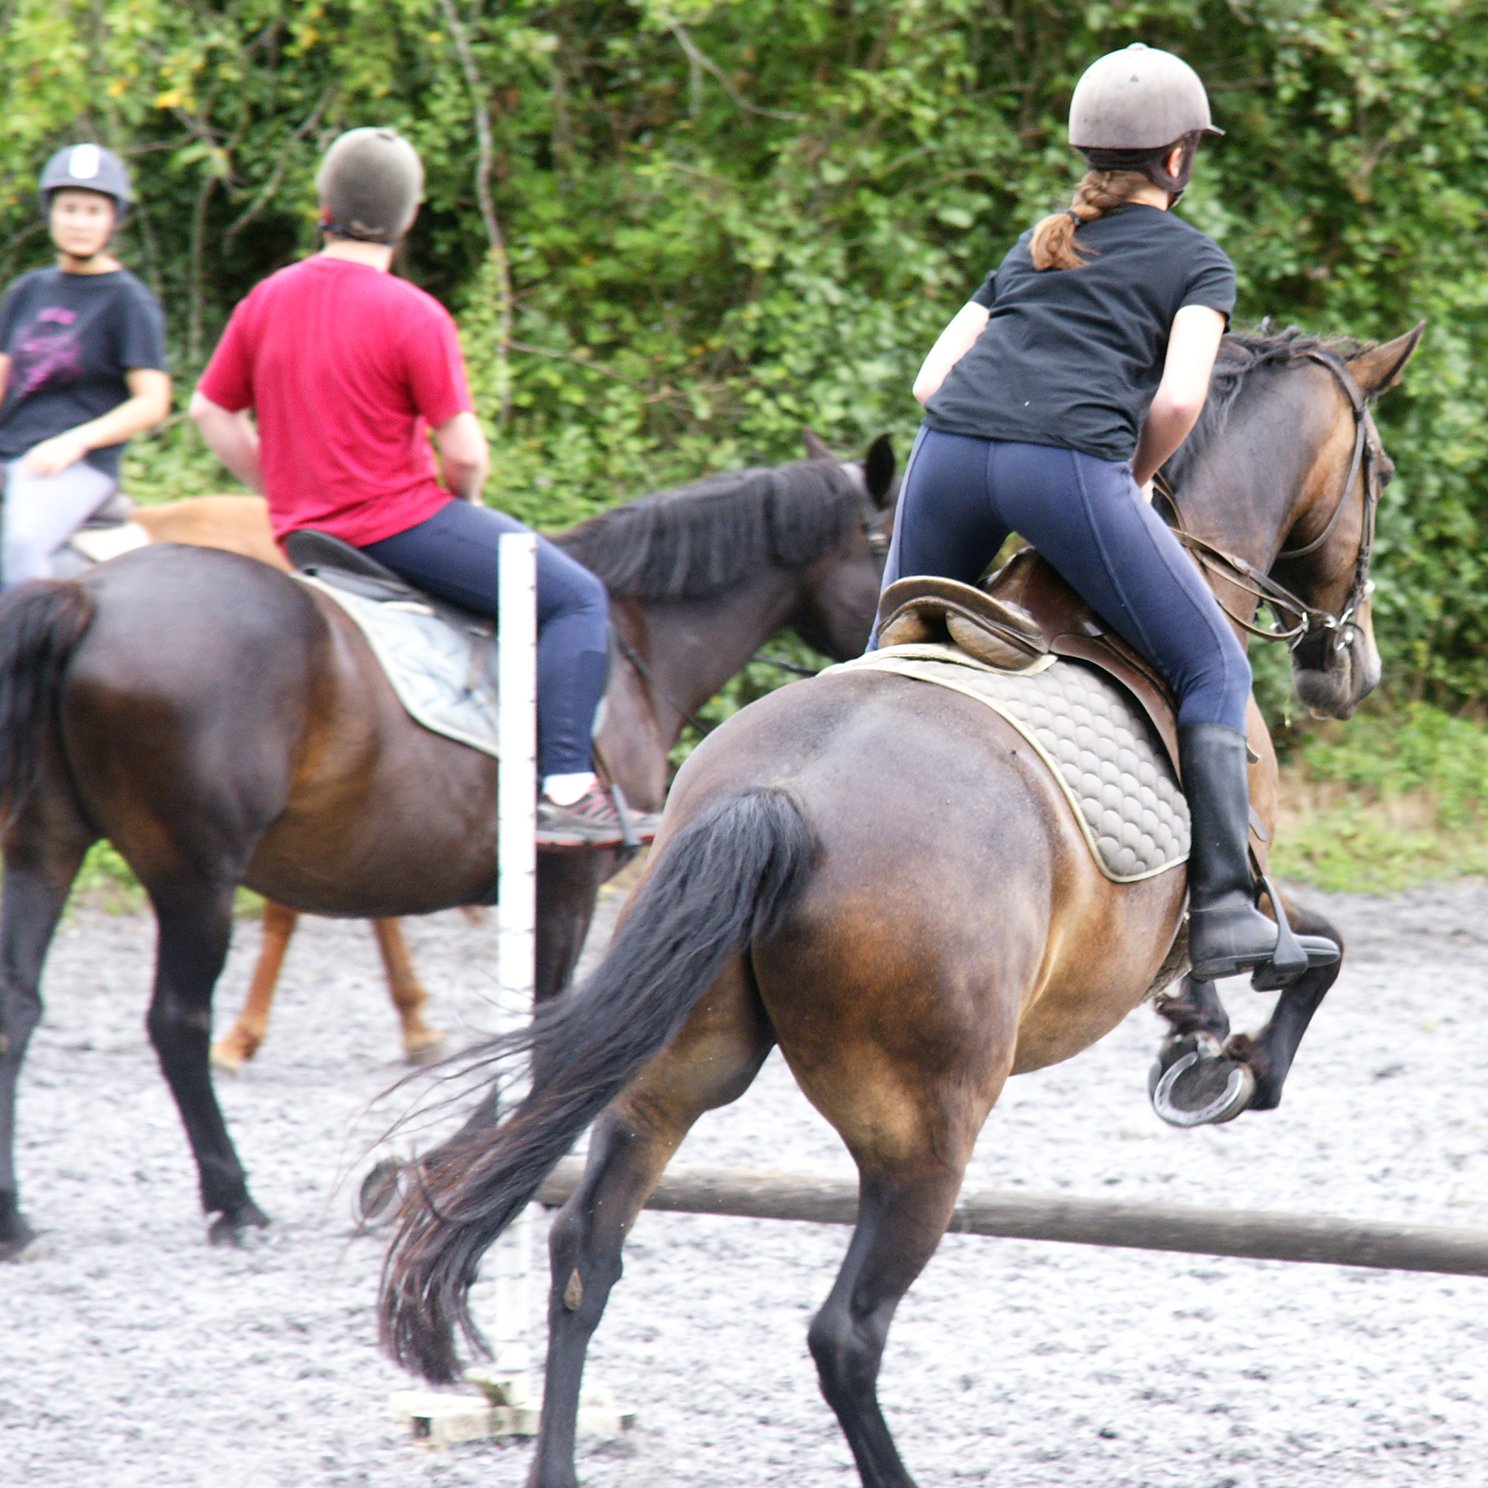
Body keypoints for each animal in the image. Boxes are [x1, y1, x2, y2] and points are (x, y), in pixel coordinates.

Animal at [0, 437, 892, 1255]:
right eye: (883, 548)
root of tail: (88, 594)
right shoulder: (565, 885)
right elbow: (548, 1022)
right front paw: (468, 1162)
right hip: (197, 875)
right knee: (178, 1022)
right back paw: (233, 1201)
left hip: (48, 847)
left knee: (21, 1005)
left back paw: (15, 1218)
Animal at [377, 322, 1422, 1488]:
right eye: (1379, 474)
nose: (1349, 672)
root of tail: (774, 802)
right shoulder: (1239, 884)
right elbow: (1310, 949)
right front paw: (1231, 1067)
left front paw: (1199, 1041)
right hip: (925, 1130)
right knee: (847, 1333)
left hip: (674, 1075)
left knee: (584, 1256)